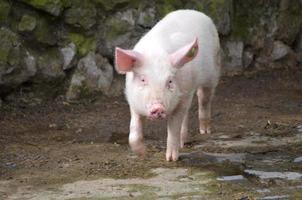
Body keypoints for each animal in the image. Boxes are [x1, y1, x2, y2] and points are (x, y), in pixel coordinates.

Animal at [114, 10, 221, 162]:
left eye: (169, 81)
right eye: (142, 79)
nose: (158, 107)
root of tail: (195, 12)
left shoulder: (181, 100)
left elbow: (173, 128)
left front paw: (171, 159)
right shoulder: (133, 102)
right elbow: (134, 131)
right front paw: (143, 154)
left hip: (213, 71)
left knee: (204, 99)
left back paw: (204, 131)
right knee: (187, 112)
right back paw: (183, 143)